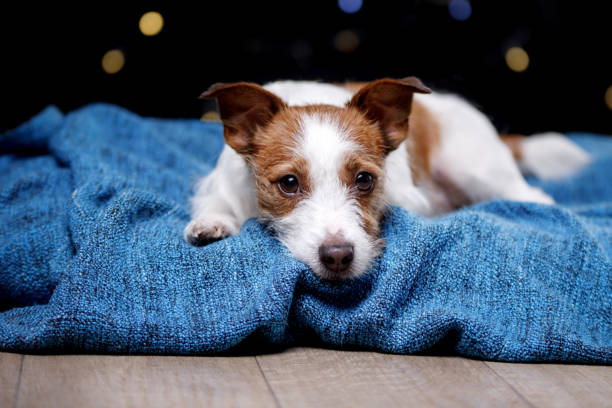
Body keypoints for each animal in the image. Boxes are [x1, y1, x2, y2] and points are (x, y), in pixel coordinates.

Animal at [182, 77, 588, 278]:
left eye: (365, 180)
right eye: (289, 184)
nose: (338, 257)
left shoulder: (410, 197)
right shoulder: (221, 181)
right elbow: (217, 200)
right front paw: (211, 222)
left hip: (472, 167)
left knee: (531, 195)